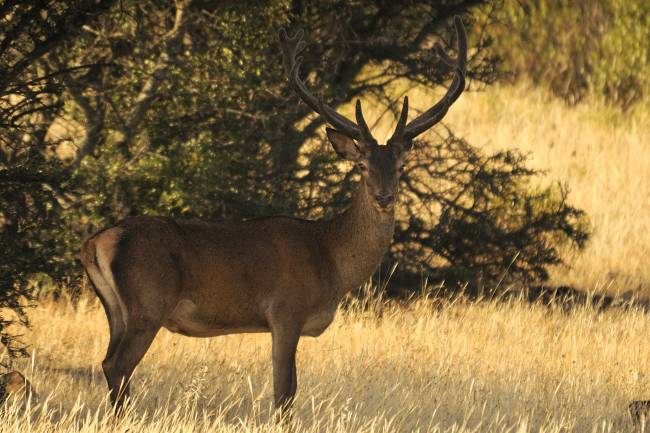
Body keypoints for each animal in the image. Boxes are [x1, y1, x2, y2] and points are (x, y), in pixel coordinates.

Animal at [80, 16, 467, 414]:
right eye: (361, 165)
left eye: (400, 166)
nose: (384, 196)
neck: (331, 260)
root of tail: (97, 241)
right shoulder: (285, 311)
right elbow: (284, 392)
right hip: (148, 303)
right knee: (118, 365)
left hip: (116, 309)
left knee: (108, 363)